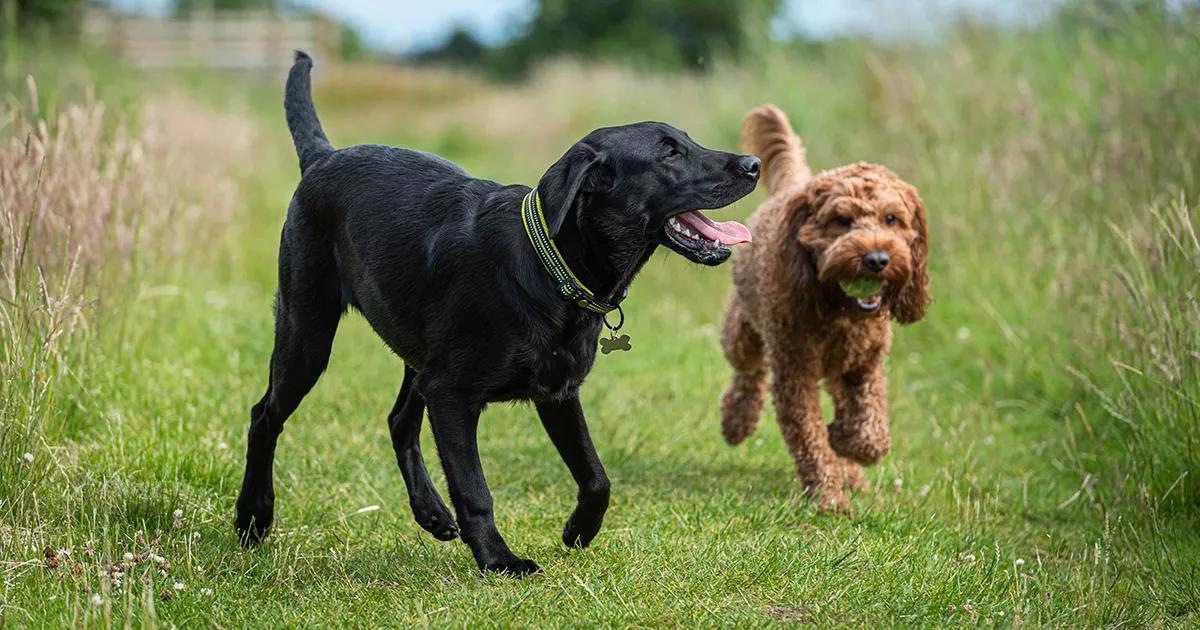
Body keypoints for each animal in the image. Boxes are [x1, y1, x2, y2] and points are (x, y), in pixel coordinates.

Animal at [236, 52, 758, 573]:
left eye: (688, 141)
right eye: (669, 153)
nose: (753, 163)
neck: (551, 267)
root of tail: (322, 157)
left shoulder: (557, 392)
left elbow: (597, 477)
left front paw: (578, 531)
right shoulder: (451, 395)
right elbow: (474, 489)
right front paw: (498, 560)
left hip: (416, 356)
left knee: (399, 421)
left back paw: (431, 513)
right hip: (308, 333)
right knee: (265, 416)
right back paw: (252, 518)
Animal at [720, 102, 926, 506]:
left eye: (892, 218)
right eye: (841, 220)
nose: (876, 259)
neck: (841, 310)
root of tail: (794, 186)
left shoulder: (866, 366)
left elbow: (873, 435)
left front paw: (845, 443)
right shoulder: (795, 372)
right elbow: (810, 436)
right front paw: (830, 496)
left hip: (837, 367)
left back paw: (852, 472)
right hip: (743, 331)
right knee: (749, 371)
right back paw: (737, 420)